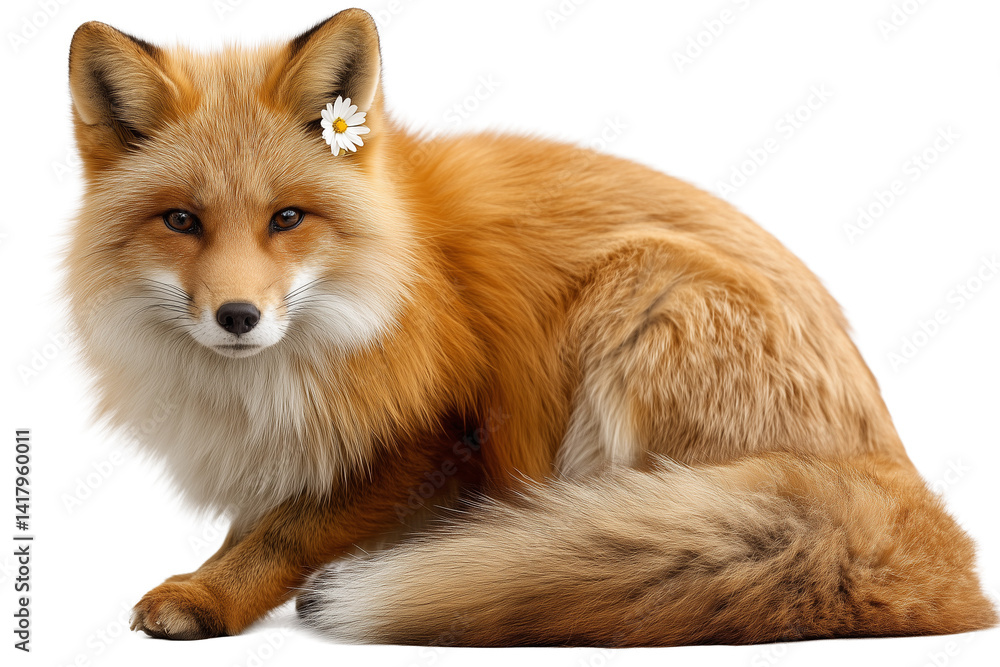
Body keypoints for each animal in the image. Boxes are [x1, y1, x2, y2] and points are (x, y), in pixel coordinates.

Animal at [64, 8, 996, 645]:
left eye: (286, 218)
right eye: (182, 221)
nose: (238, 317)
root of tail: (900, 475)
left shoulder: (445, 436)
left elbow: (286, 528)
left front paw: (212, 593)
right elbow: (257, 522)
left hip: (638, 294)